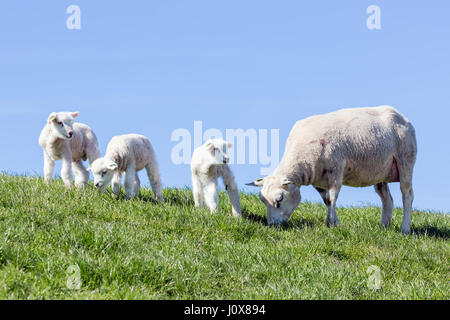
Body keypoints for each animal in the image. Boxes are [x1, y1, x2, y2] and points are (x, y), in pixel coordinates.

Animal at [248, 106, 416, 234]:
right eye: (262, 200)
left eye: (280, 199)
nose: (272, 226)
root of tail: (402, 116)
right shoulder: (318, 180)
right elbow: (326, 201)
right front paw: (335, 222)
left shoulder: (336, 170)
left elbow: (331, 198)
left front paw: (330, 223)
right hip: (380, 172)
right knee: (387, 199)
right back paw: (384, 227)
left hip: (406, 160)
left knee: (407, 195)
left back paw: (405, 229)